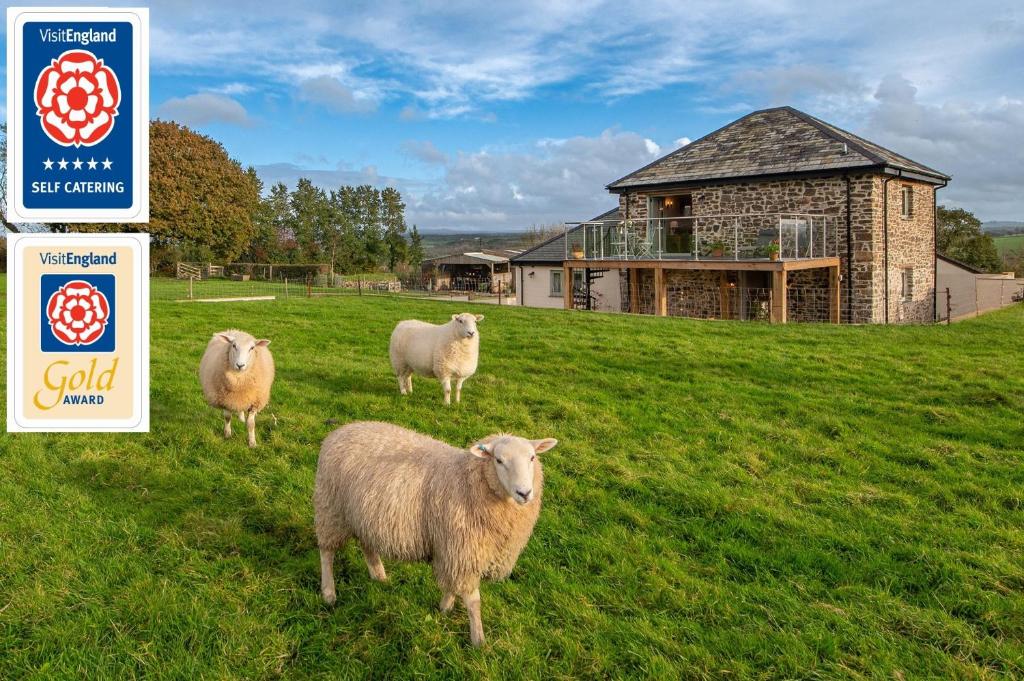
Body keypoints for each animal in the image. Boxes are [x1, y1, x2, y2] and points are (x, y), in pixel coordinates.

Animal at [313, 417, 561, 647]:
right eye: (499, 460)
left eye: (532, 458)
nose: (524, 493)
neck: (468, 481)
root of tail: (341, 430)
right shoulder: (462, 550)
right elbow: (473, 601)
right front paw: (478, 640)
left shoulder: (453, 550)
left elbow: (451, 585)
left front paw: (444, 608)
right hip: (330, 509)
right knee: (326, 553)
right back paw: (329, 593)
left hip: (362, 515)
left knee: (366, 545)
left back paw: (379, 575)